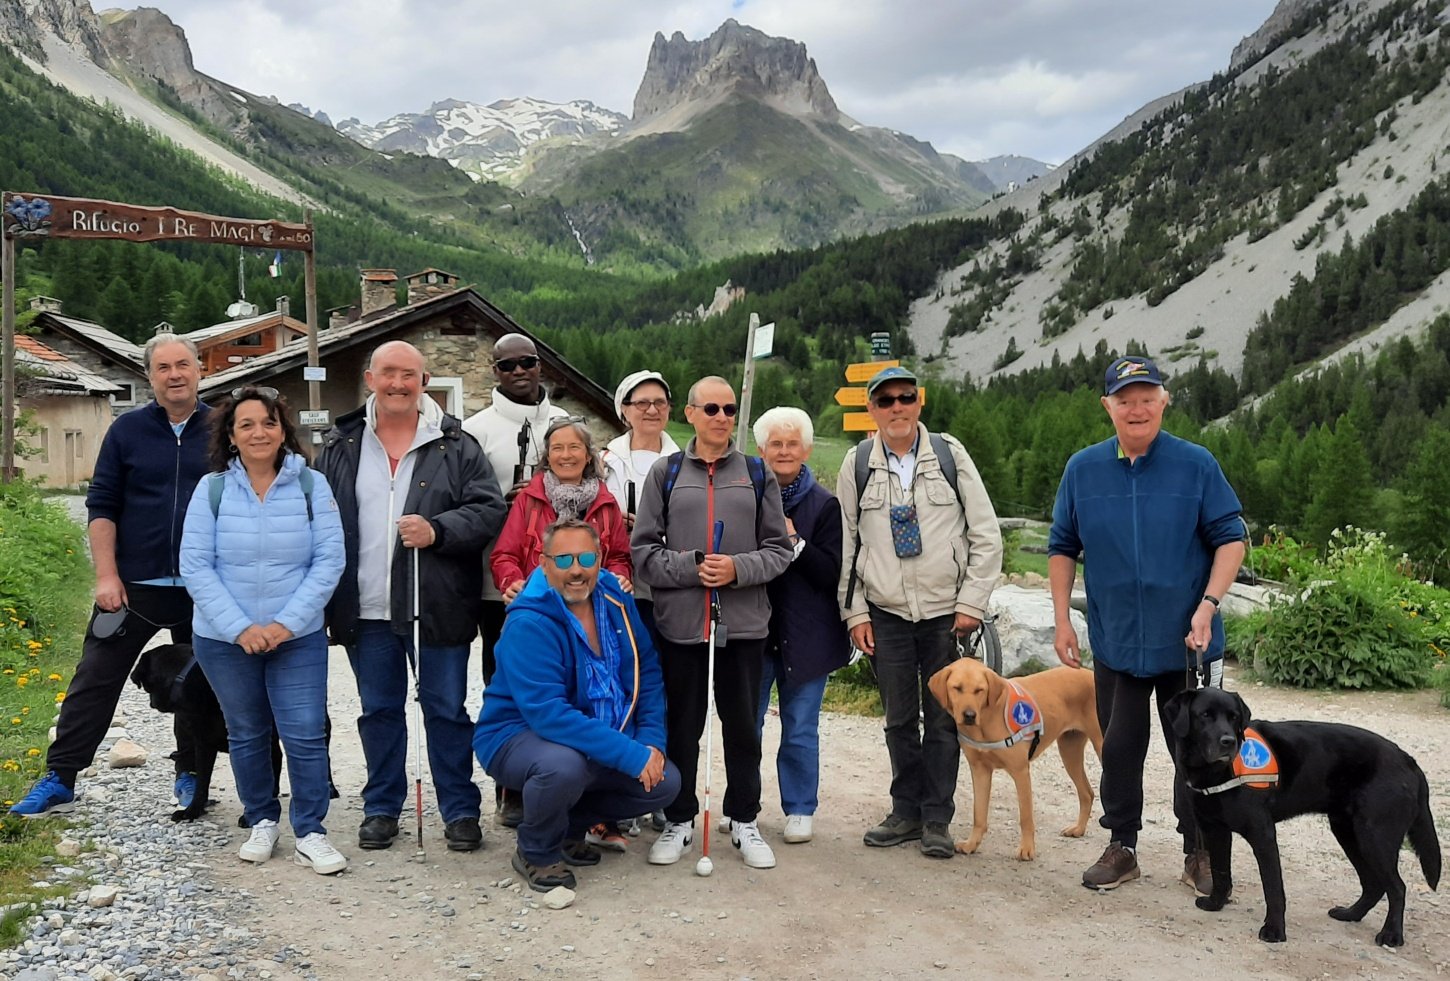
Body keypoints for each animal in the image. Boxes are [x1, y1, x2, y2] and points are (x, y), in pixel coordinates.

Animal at [127, 637, 336, 823]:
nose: (152, 702)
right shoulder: (204, 744)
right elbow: (202, 782)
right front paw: (193, 810)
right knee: (277, 758)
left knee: (323, 756)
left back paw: (330, 789)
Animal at [933, 657, 1102, 857]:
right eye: (957, 688)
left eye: (979, 690)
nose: (969, 715)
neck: (987, 720)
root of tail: (1090, 673)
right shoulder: (980, 771)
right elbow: (979, 815)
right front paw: (971, 844)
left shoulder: (1020, 772)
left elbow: (1026, 817)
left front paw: (1027, 849)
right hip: (1070, 752)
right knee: (1087, 793)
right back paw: (1078, 829)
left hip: (1101, 747)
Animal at [1165, 683, 1438, 944]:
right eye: (1205, 715)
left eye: (1234, 717)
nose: (1229, 741)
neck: (1216, 772)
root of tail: (1408, 760)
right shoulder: (1216, 830)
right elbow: (1221, 871)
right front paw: (1216, 903)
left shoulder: (1263, 835)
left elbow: (1273, 888)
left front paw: (1275, 930)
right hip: (1349, 833)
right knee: (1374, 884)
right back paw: (1351, 914)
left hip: (1375, 837)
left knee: (1397, 888)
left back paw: (1392, 935)